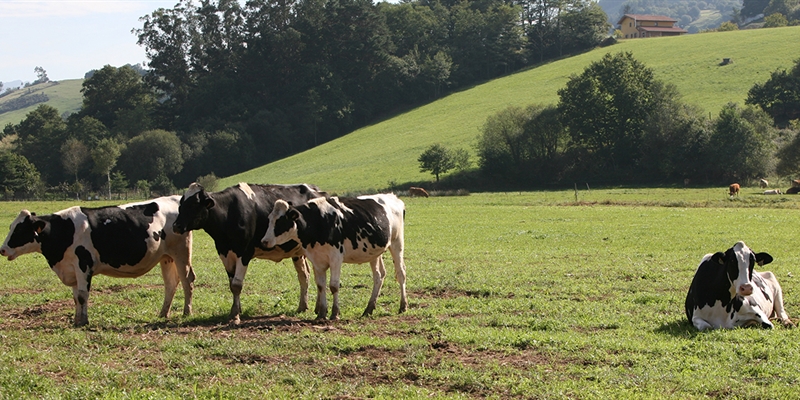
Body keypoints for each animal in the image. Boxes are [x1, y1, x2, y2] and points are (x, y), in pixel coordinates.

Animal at [0, 195, 194, 326]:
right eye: (11, 226)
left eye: (20, 230)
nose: (2, 249)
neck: (64, 230)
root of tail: (174, 198)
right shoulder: (71, 269)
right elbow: (75, 297)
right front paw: (76, 319)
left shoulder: (83, 265)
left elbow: (82, 295)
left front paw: (83, 321)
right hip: (166, 257)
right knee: (170, 284)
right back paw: (163, 313)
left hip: (181, 253)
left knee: (187, 280)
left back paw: (187, 312)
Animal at [173, 183, 324, 324]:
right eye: (181, 204)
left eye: (194, 204)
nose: (176, 226)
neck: (228, 212)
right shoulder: (225, 254)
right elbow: (232, 284)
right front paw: (237, 309)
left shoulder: (244, 253)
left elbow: (236, 285)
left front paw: (235, 315)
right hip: (298, 253)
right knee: (304, 275)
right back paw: (304, 307)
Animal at [262, 192, 410, 320]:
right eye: (269, 219)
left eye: (280, 222)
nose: (264, 241)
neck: (317, 221)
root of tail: (393, 196)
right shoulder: (316, 259)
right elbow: (320, 285)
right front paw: (321, 314)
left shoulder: (336, 258)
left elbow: (333, 286)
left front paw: (335, 313)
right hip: (374, 251)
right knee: (379, 275)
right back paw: (369, 309)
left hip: (397, 243)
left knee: (401, 273)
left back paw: (403, 306)